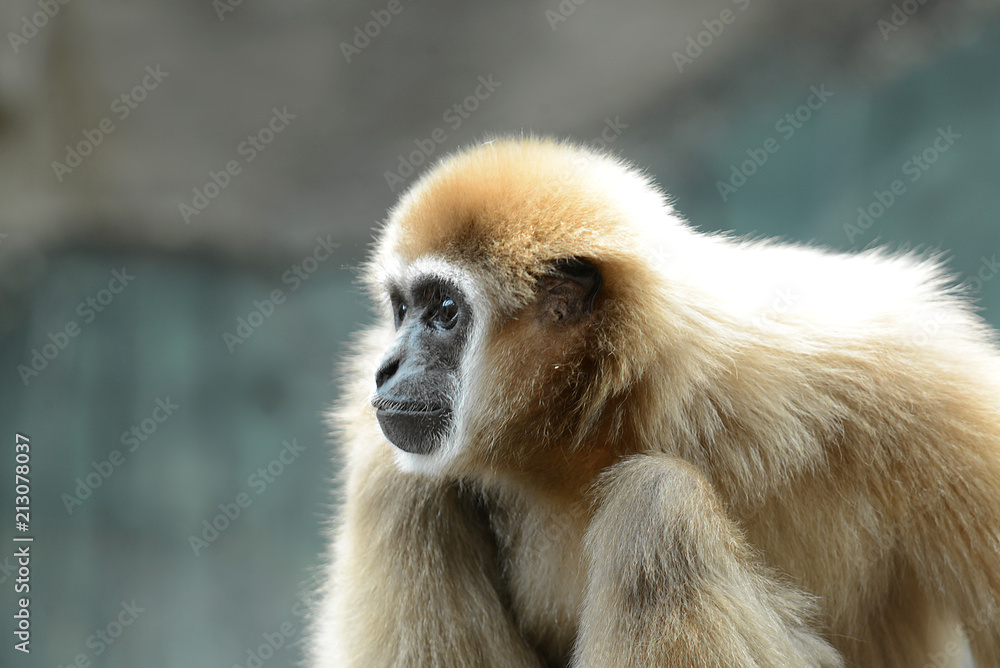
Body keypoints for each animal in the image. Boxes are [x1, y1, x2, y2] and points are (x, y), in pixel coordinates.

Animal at [307, 136, 1000, 667]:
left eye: (444, 311)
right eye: (401, 309)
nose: (386, 367)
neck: (617, 420)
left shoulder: (909, 374)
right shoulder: (385, 468)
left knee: (656, 506)